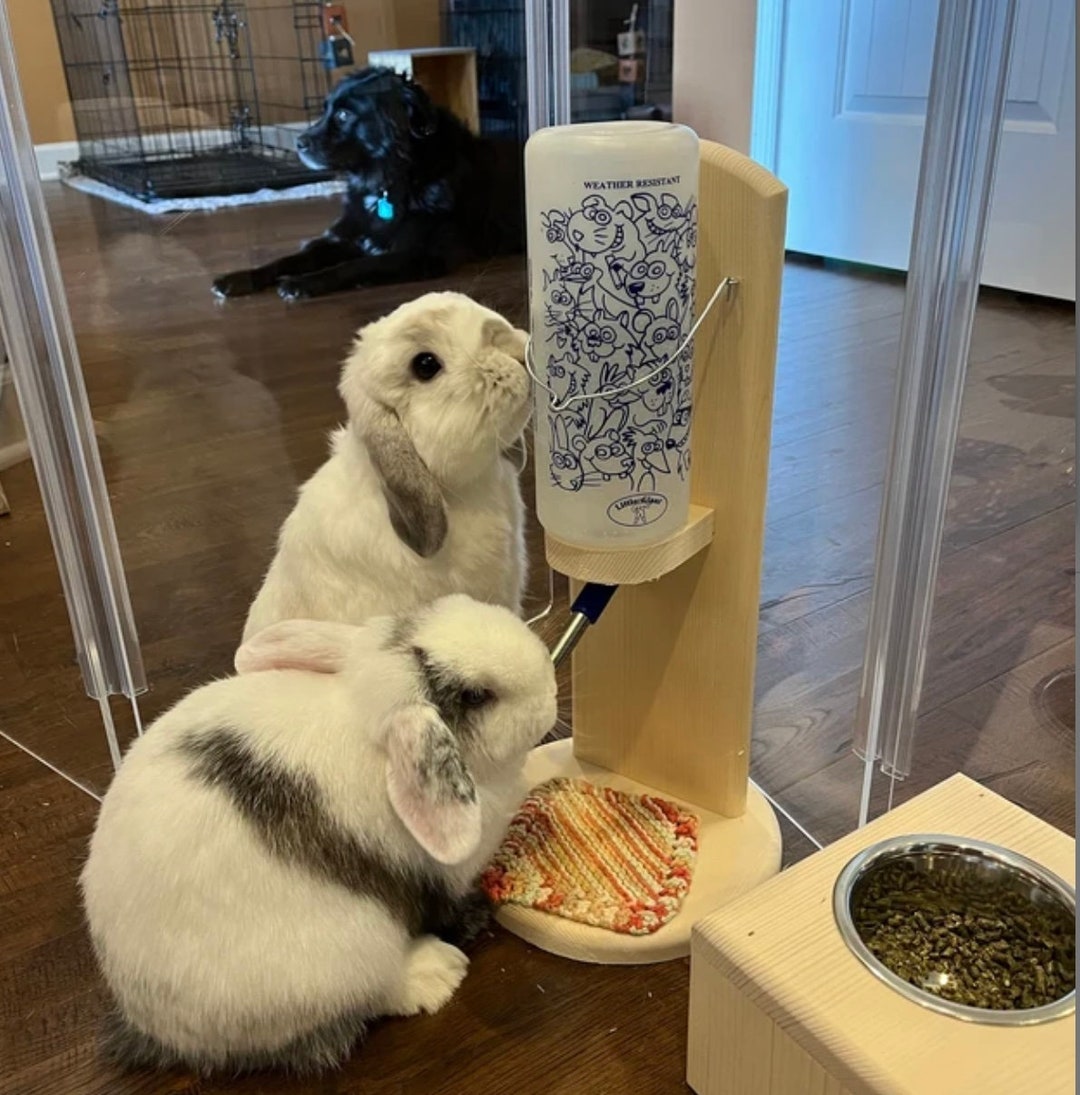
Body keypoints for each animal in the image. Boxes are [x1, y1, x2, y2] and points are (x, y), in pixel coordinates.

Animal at [81, 594, 558, 1077]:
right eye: (477, 696)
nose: (553, 688)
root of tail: (155, 1027)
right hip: (355, 952)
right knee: (372, 993)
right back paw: (437, 972)